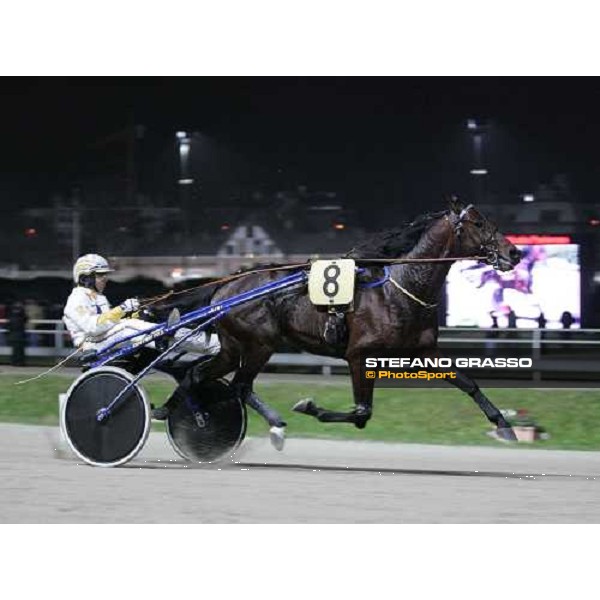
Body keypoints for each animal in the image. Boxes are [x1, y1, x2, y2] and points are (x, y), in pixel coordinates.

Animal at [152, 199, 524, 448]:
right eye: (478, 224)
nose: (515, 253)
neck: (400, 288)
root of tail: (225, 286)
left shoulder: (424, 353)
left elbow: (468, 383)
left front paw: (503, 424)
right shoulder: (359, 355)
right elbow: (361, 412)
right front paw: (310, 407)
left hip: (235, 347)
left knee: (200, 375)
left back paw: (174, 412)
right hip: (259, 344)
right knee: (238, 385)